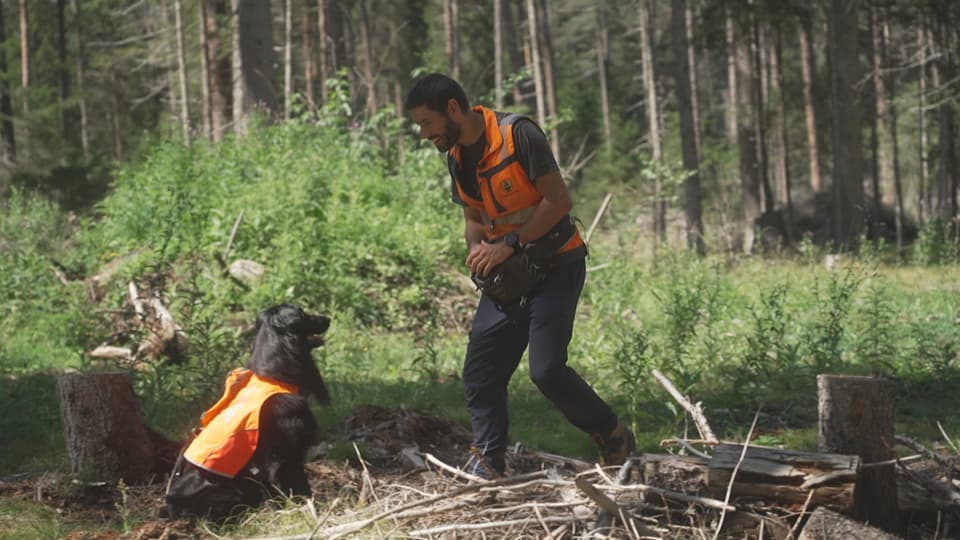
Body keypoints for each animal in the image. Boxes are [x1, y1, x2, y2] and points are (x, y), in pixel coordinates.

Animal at [163, 304, 332, 520]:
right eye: (303, 314)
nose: (328, 319)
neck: (275, 378)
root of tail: (170, 506)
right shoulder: (285, 455)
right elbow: (298, 486)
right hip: (232, 489)